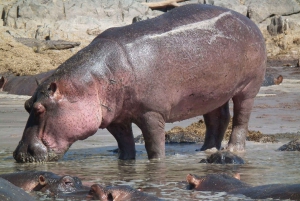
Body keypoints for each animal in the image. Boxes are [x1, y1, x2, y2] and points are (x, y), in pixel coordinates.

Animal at [12, 3, 266, 163]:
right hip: (213, 93)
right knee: (218, 118)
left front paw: (156, 163)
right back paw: (205, 149)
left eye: (39, 109)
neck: (91, 82)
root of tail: (248, 20)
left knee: (241, 119)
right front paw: (125, 163)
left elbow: (154, 144)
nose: (18, 154)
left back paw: (233, 149)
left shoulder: (152, 113)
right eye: (26, 105)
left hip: (248, 87)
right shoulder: (115, 118)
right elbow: (125, 143)